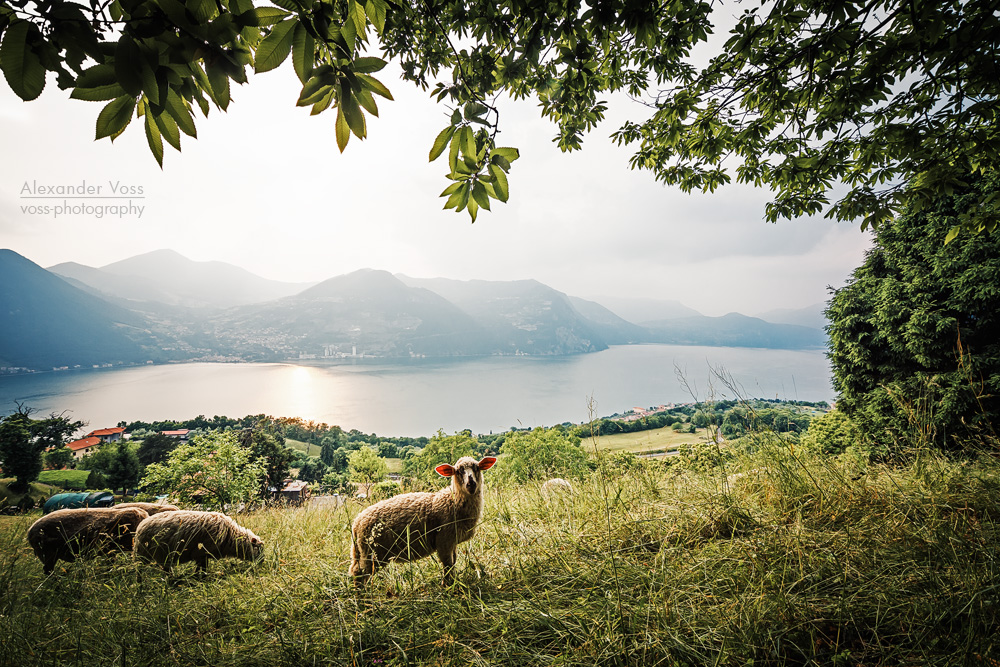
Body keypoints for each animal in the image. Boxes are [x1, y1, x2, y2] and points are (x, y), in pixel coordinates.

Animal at [135, 512, 264, 576]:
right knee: (140, 570)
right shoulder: (201, 553)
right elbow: (201, 568)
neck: (230, 535)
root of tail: (141, 526)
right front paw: (201, 578)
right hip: (146, 553)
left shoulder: (203, 555)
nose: (262, 562)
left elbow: (201, 567)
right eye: (258, 548)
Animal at [350, 456, 498, 588]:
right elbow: (448, 564)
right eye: (458, 471)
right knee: (359, 573)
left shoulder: (453, 541)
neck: (453, 501)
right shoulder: (444, 540)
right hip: (372, 552)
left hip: (361, 551)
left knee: (354, 569)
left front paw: (453, 582)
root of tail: (357, 523)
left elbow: (453, 562)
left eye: (477, 468)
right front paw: (447, 586)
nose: (471, 484)